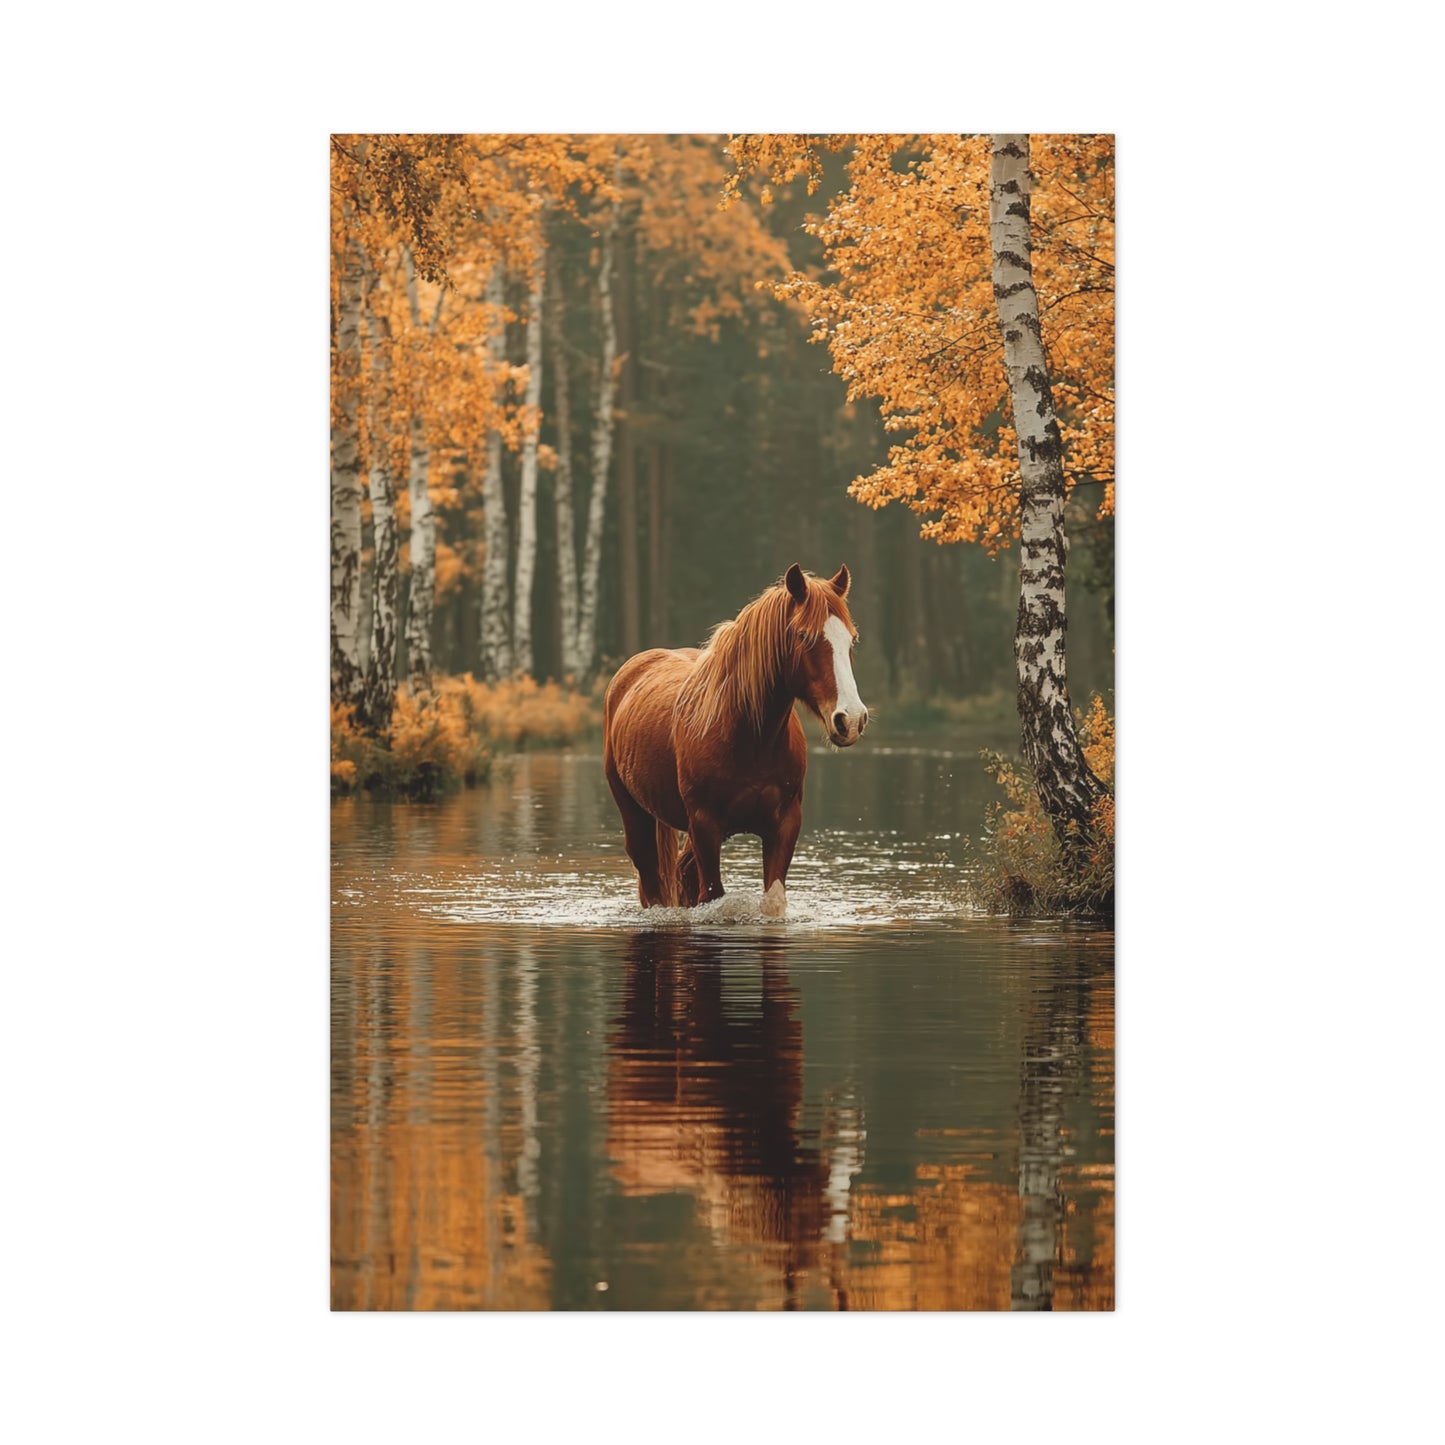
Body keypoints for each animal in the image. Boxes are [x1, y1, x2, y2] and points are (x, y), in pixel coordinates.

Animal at [602, 563, 868, 916]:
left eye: (851, 640)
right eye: (804, 636)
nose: (850, 719)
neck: (751, 739)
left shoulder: (785, 823)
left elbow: (773, 902)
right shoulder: (705, 825)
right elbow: (713, 897)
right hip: (635, 814)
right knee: (651, 882)